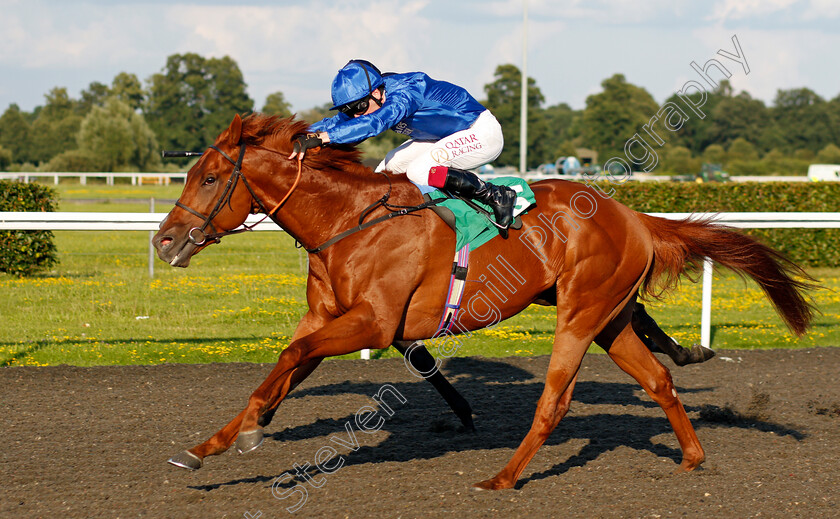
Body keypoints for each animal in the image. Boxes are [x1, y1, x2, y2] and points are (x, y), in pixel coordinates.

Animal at [153, 115, 812, 492]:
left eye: (210, 179)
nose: (164, 240)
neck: (347, 220)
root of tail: (635, 217)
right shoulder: (330, 317)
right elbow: (286, 363)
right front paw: (210, 446)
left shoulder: (371, 322)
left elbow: (292, 358)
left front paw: (251, 432)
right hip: (610, 320)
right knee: (658, 381)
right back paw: (693, 458)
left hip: (580, 315)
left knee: (555, 401)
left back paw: (504, 478)